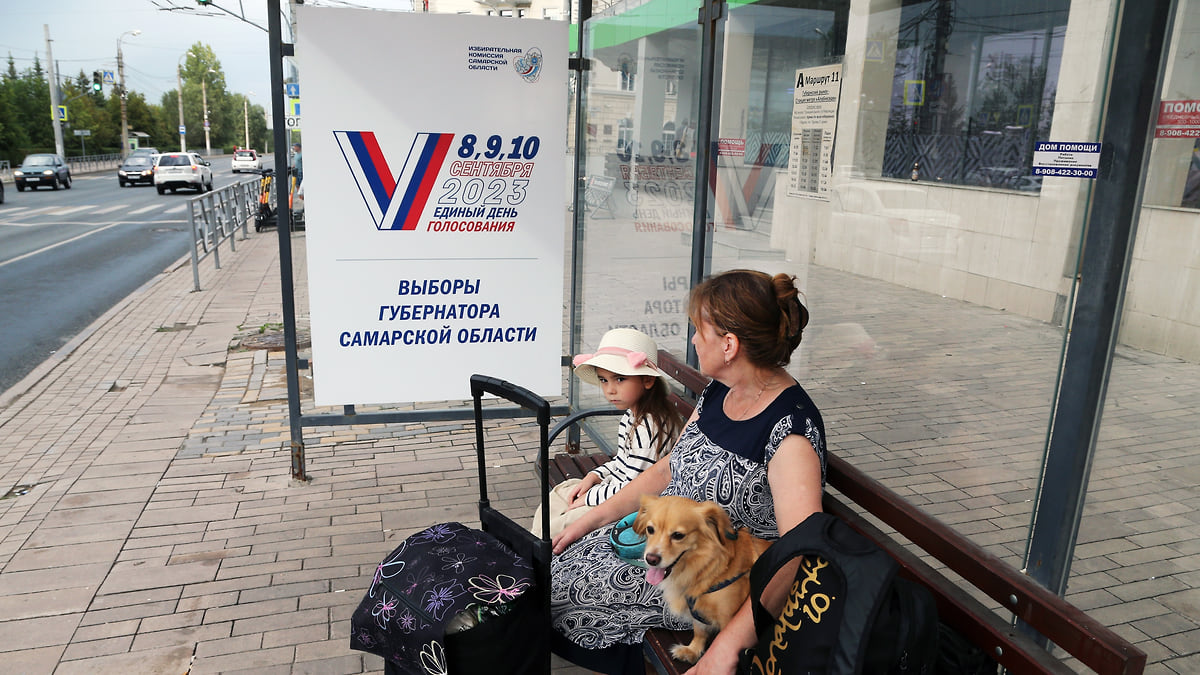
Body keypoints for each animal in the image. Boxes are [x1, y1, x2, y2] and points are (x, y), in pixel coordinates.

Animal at [633, 494, 772, 663]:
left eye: (678, 535)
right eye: (650, 529)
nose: (651, 559)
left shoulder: (728, 618)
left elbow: (722, 643)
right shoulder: (697, 612)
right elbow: (699, 631)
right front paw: (693, 650)